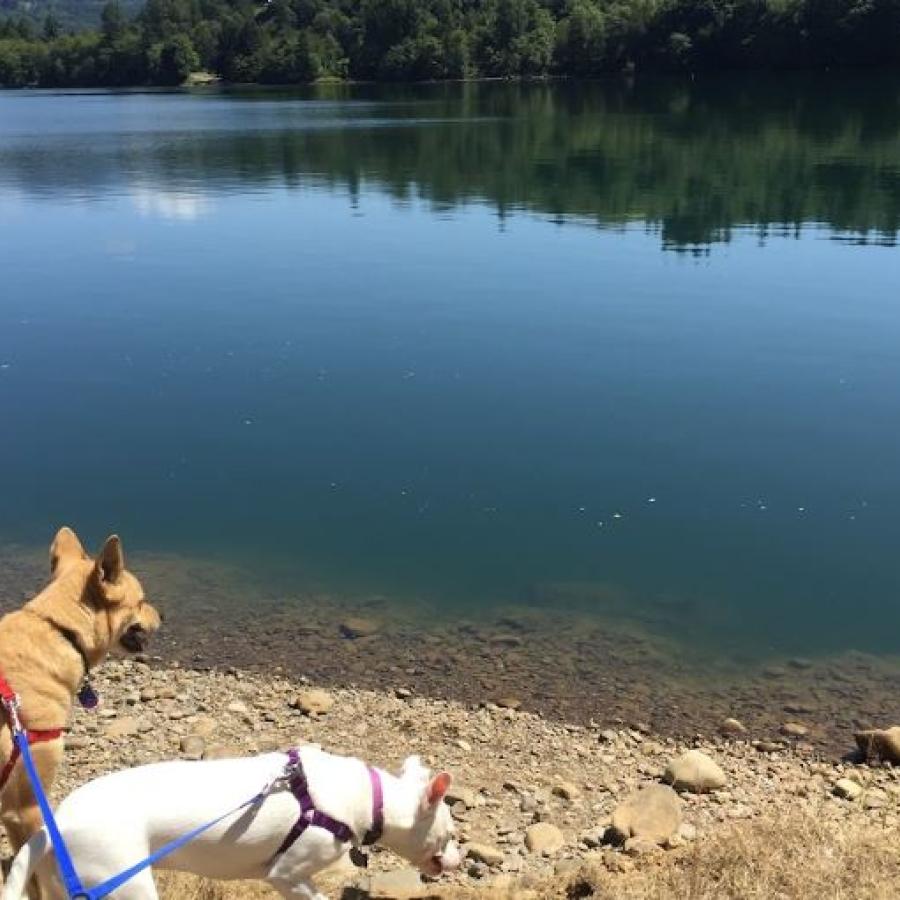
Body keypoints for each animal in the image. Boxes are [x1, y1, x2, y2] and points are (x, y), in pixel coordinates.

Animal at [0, 744, 460, 900]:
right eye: (450, 834)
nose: (459, 860)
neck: (371, 799)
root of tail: (54, 826)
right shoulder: (286, 874)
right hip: (125, 885)